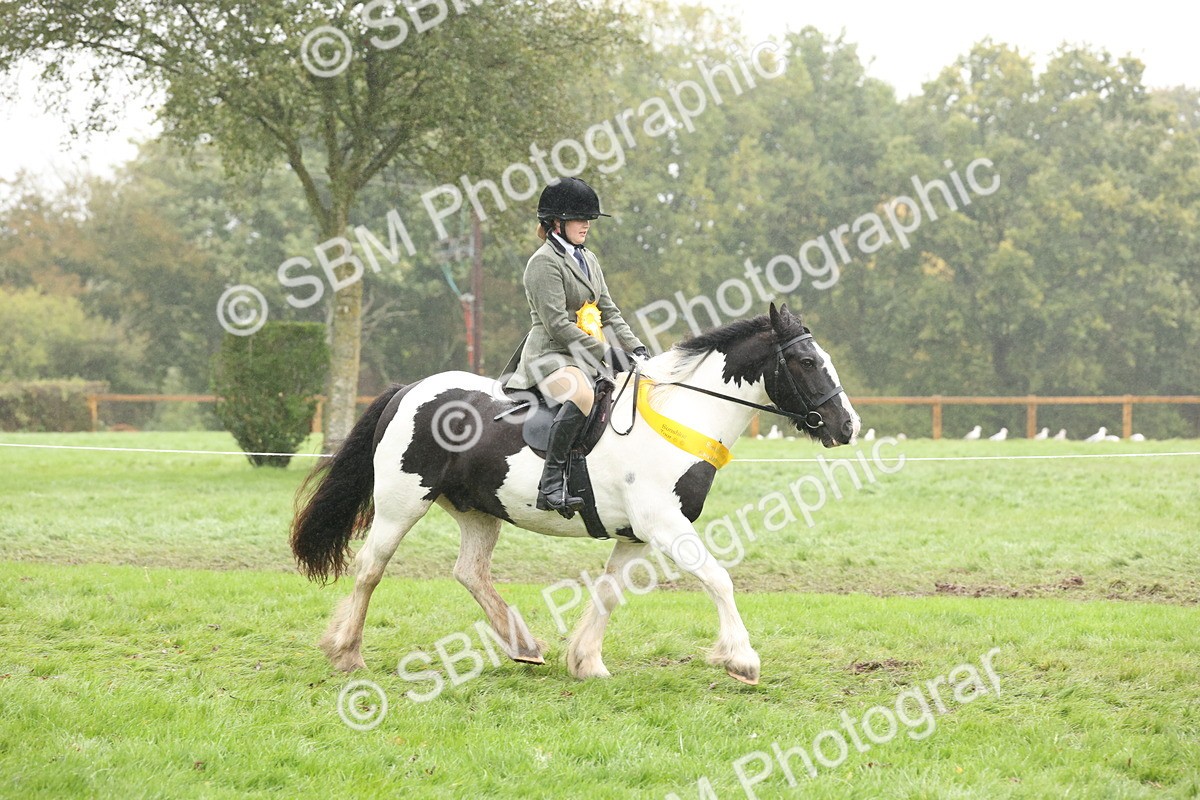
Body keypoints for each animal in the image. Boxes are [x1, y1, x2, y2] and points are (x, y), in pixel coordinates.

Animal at [291, 303, 860, 685]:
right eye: (808, 362)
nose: (847, 426)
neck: (680, 418)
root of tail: (408, 390)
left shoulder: (635, 535)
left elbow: (608, 593)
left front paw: (587, 662)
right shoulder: (664, 525)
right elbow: (718, 579)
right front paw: (741, 658)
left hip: (478, 510)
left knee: (469, 572)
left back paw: (523, 645)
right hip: (401, 504)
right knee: (371, 568)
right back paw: (347, 653)